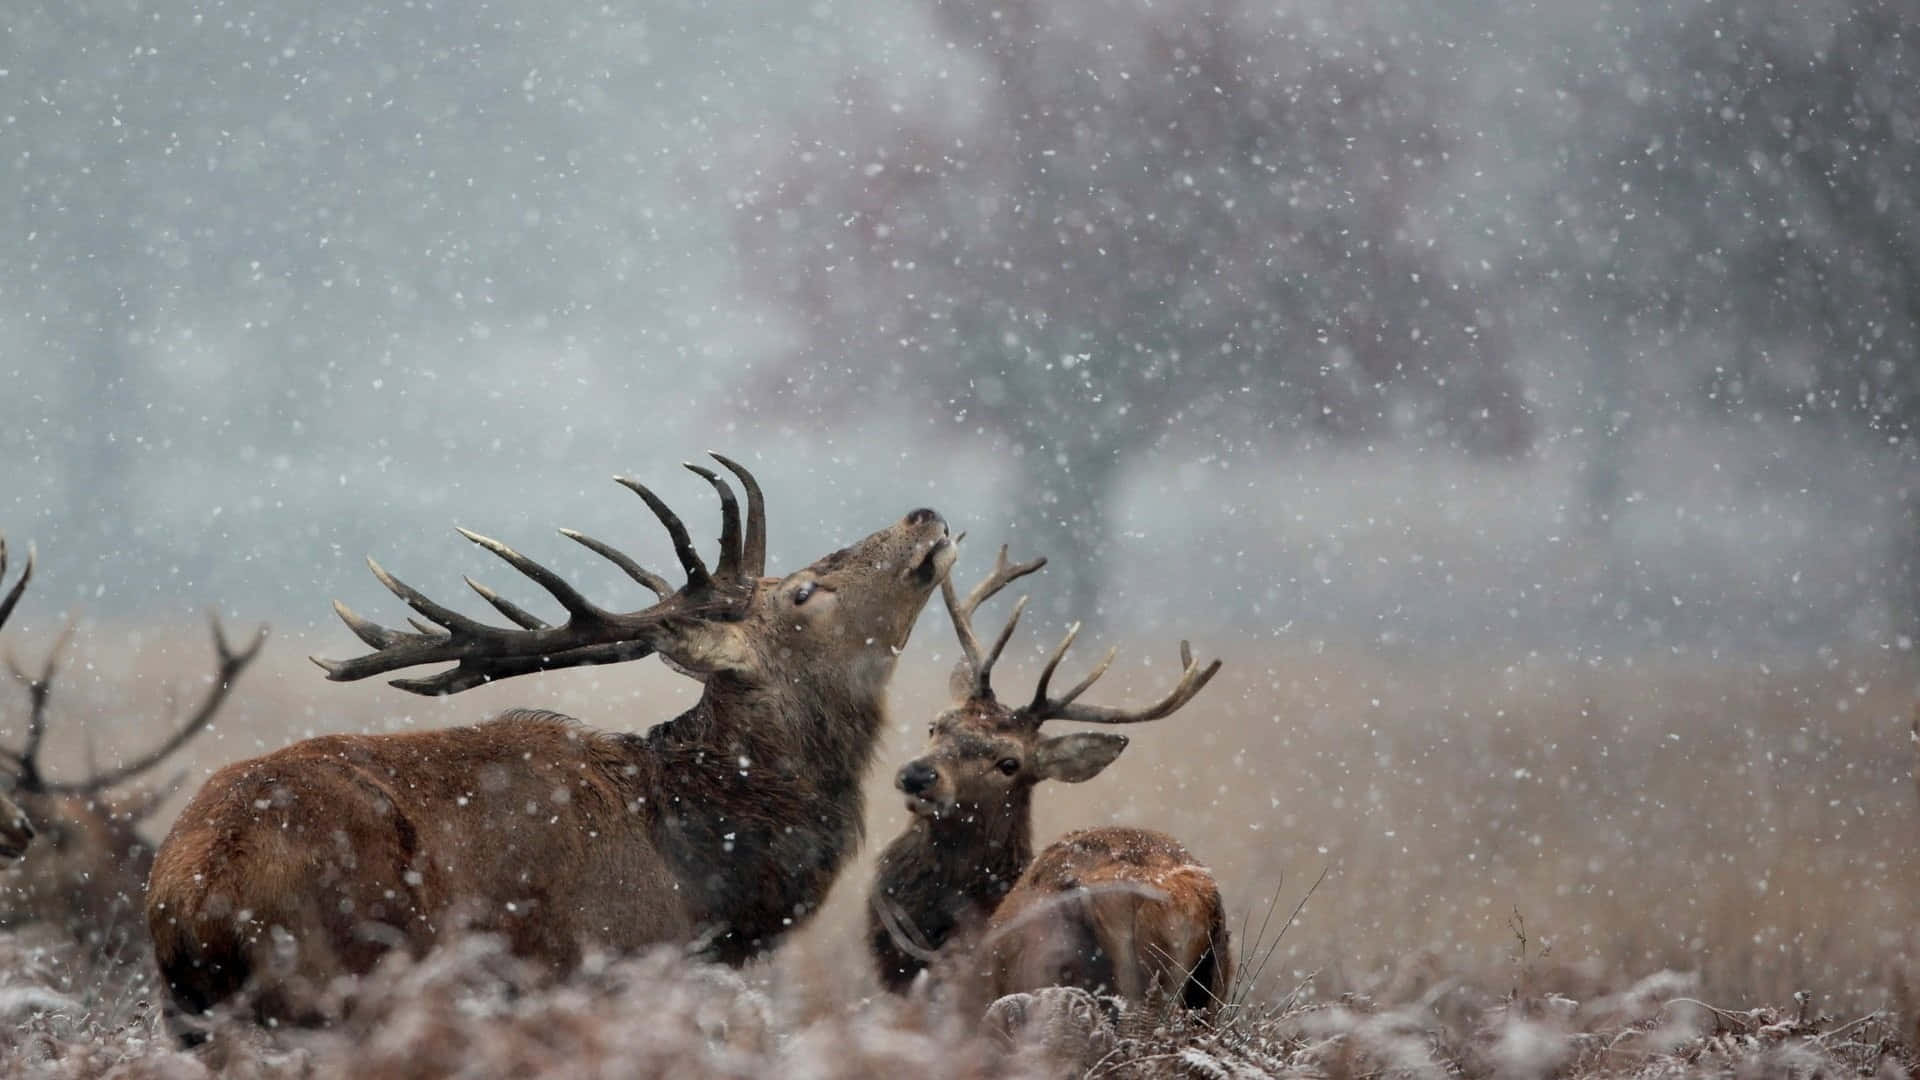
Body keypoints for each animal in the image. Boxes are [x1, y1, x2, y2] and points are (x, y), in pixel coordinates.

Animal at [146, 455, 957, 1037]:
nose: (924, 515)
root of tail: (192, 893)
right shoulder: (607, 967)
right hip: (340, 980)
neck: (704, 885)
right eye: (804, 592)